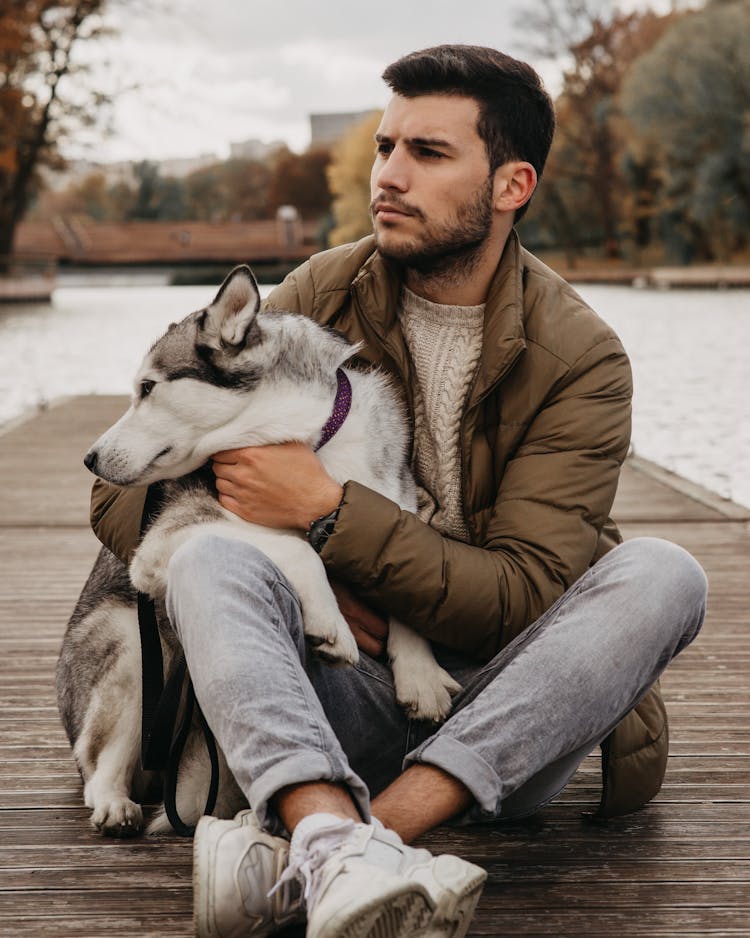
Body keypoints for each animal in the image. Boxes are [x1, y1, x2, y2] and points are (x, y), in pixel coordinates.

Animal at [55, 266, 462, 836]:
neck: (308, 443)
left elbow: (405, 584)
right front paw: (331, 624)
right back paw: (114, 803)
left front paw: (421, 675)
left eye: (147, 388)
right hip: (130, 646)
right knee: (96, 763)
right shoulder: (161, 542)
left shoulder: (401, 512)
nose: (90, 459)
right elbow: (295, 547)